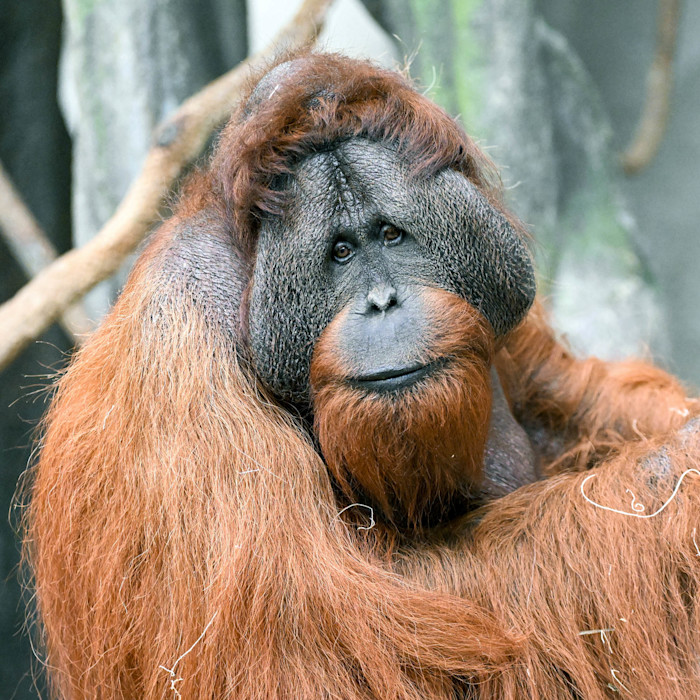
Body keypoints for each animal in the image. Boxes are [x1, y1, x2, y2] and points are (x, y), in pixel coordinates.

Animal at [26, 52, 700, 699]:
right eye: (341, 252)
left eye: (392, 234)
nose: (382, 302)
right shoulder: (182, 363)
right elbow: (328, 648)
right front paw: (677, 470)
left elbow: (564, 396)